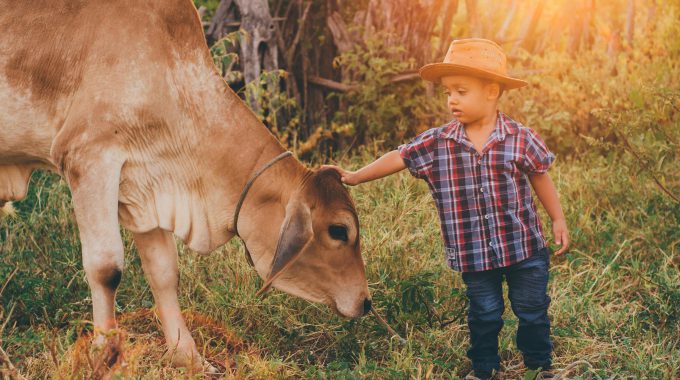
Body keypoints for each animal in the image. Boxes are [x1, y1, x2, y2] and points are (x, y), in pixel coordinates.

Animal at [0, 0, 370, 370]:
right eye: (339, 230)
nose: (366, 302)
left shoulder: (144, 187)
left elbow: (164, 272)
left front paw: (188, 356)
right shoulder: (87, 157)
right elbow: (106, 268)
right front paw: (105, 356)